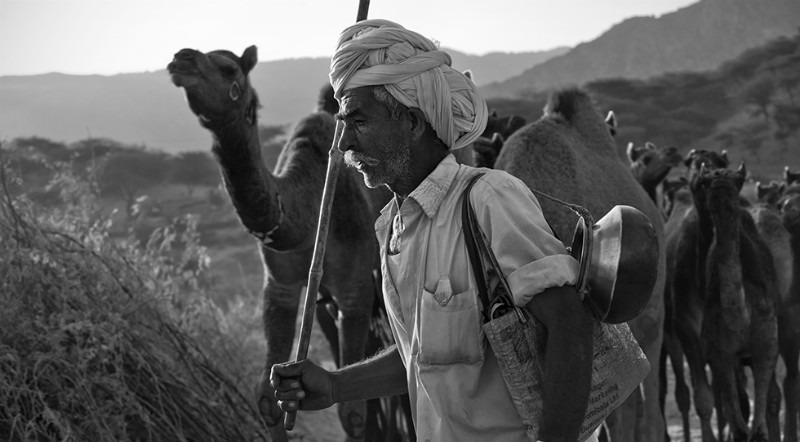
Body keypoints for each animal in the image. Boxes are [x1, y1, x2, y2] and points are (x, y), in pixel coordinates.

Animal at [167, 45, 393, 442]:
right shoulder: (280, 286)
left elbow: (351, 411)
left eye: (227, 68)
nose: (182, 58)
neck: (302, 213)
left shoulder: (354, 288)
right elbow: (266, 398)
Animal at [668, 160, 779, 442]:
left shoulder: (766, 347)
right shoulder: (719, 355)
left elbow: (758, 428)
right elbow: (739, 425)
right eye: (707, 182)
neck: (741, 314)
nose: (720, 194)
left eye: (736, 183)